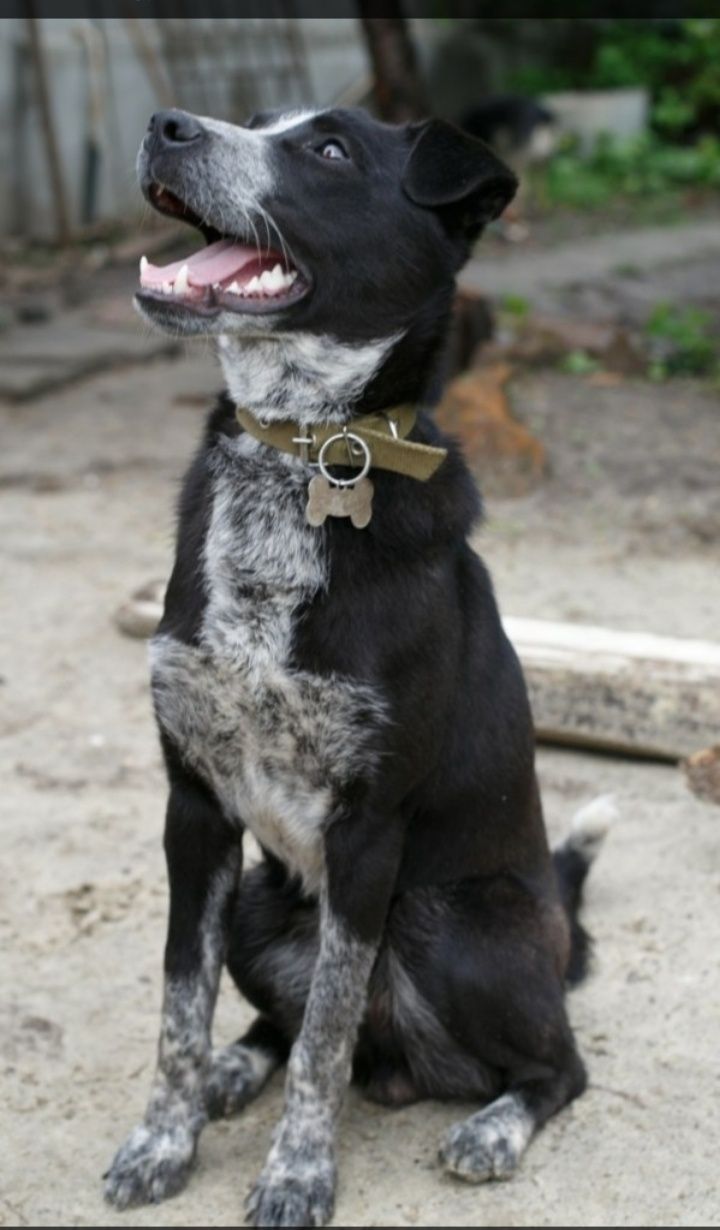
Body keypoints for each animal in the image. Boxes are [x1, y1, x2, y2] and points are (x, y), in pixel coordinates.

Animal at [104, 108, 610, 1230]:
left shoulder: (367, 830)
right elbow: (180, 1008)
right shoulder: (193, 807)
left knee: (558, 1066)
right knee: (276, 1024)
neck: (301, 452)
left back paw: (492, 1126)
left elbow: (328, 1032)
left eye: (329, 150)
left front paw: (297, 1175)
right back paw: (234, 1070)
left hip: (451, 925)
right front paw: (164, 1142)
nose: (165, 124)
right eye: (261, 122)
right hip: (263, 902)